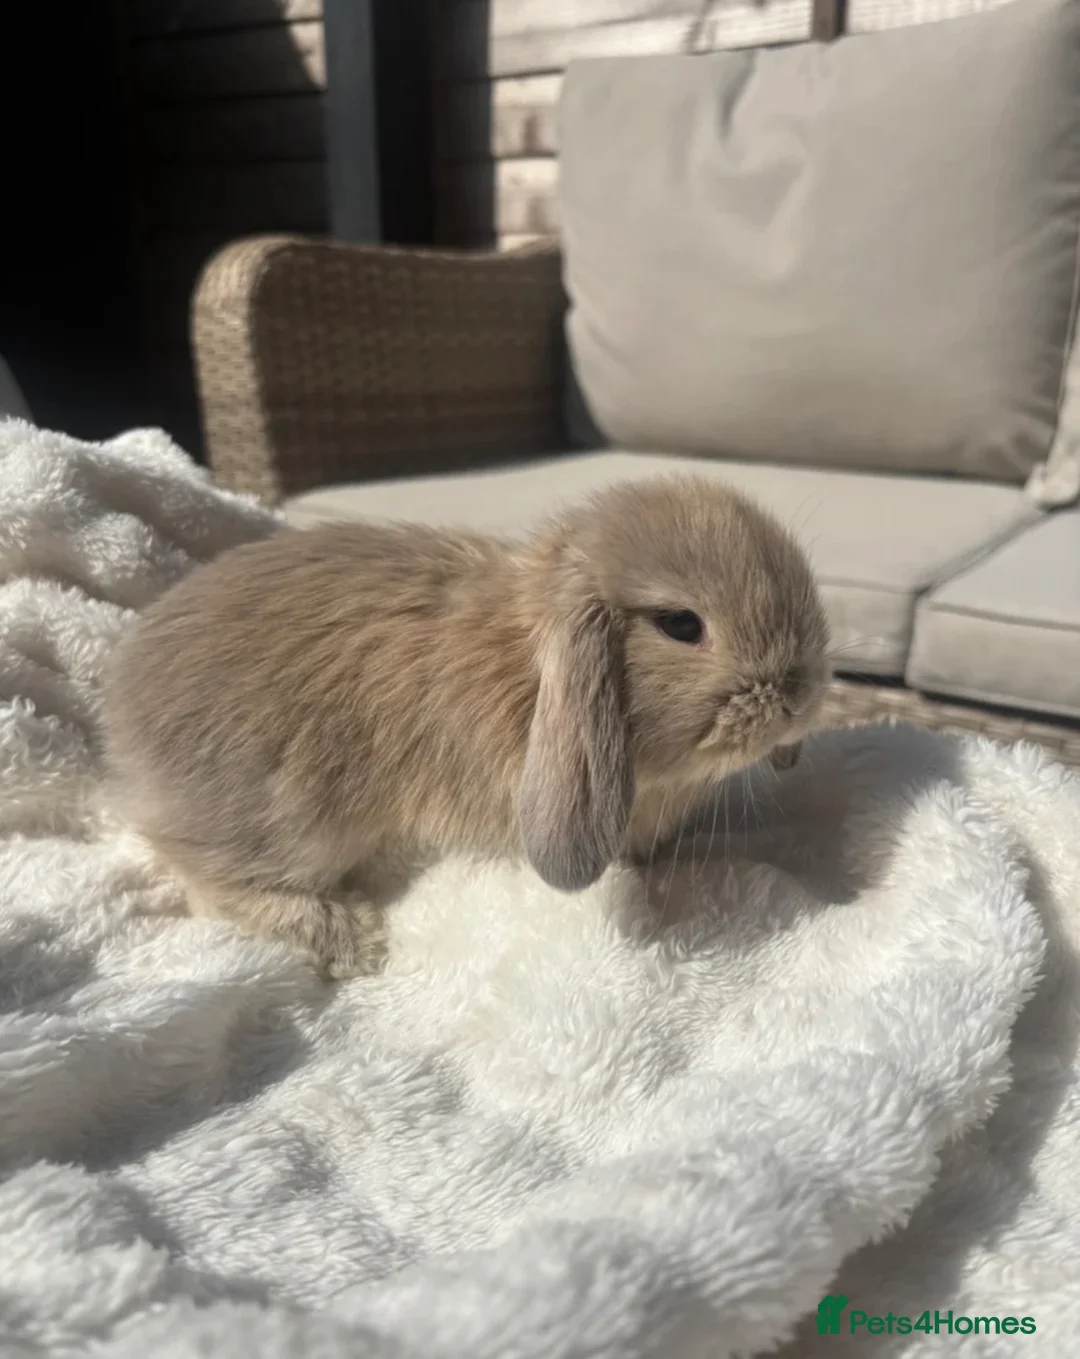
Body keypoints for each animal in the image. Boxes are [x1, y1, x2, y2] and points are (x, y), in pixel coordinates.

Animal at [101, 473, 830, 978]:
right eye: (680, 624)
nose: (799, 695)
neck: (530, 669)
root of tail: (122, 719)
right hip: (290, 821)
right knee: (206, 882)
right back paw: (354, 937)